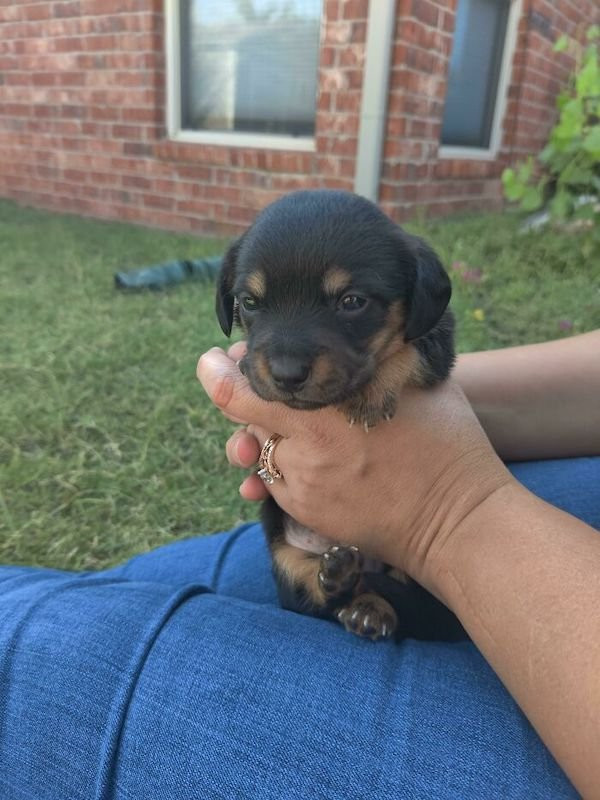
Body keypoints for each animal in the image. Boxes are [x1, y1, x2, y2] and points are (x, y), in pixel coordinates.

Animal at [217, 189, 468, 644]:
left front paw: (371, 395)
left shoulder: (439, 341)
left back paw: (369, 607)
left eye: (352, 302)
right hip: (281, 546)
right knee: (315, 591)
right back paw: (339, 580)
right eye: (249, 302)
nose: (286, 374)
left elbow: (409, 349)